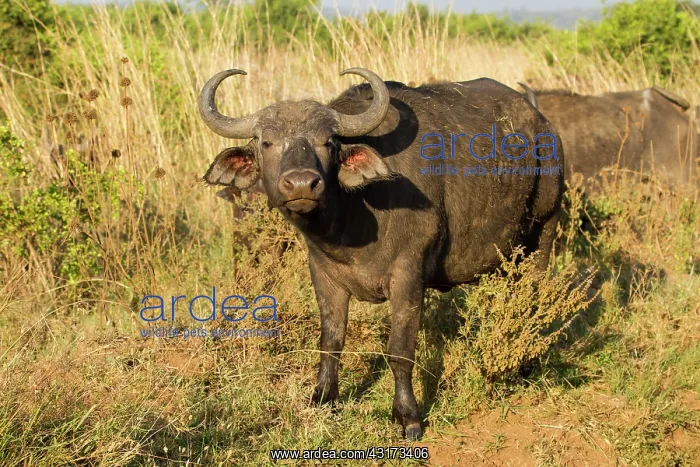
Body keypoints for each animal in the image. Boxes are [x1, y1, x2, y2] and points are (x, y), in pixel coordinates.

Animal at [200, 68, 564, 439]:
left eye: (328, 143)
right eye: (266, 142)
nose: (302, 183)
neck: (351, 223)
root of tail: (542, 126)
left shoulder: (408, 277)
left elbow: (400, 351)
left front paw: (407, 415)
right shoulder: (324, 275)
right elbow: (331, 338)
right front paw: (323, 396)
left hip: (544, 231)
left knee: (533, 298)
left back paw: (526, 363)